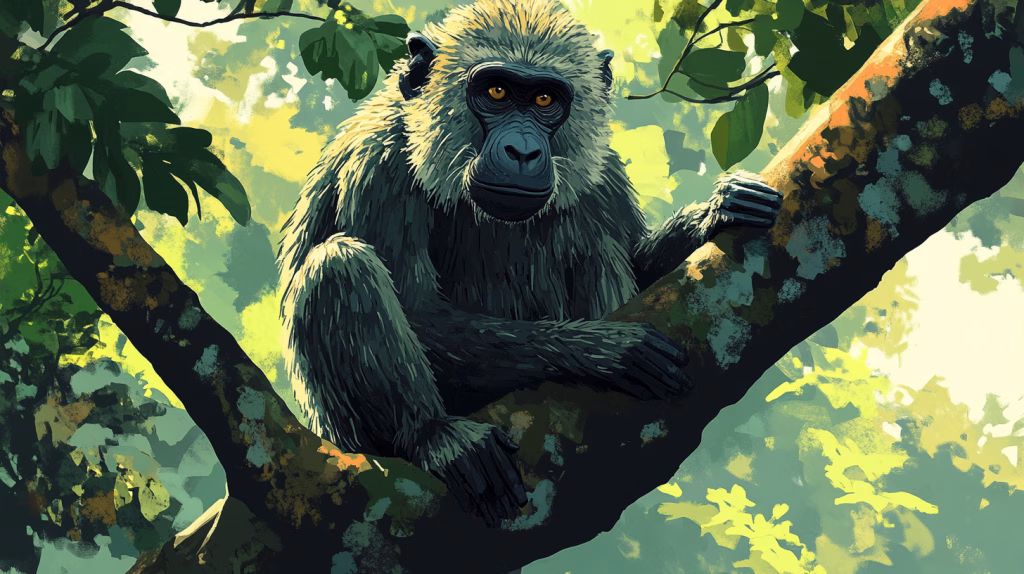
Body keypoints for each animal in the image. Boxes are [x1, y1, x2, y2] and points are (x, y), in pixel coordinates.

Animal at [278, 0, 782, 525]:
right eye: (496, 92)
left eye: (544, 100)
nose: (521, 150)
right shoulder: (377, 164)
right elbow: (416, 309)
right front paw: (602, 348)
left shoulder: (603, 169)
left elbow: (634, 258)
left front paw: (715, 212)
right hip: (352, 437)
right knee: (339, 265)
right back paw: (434, 435)